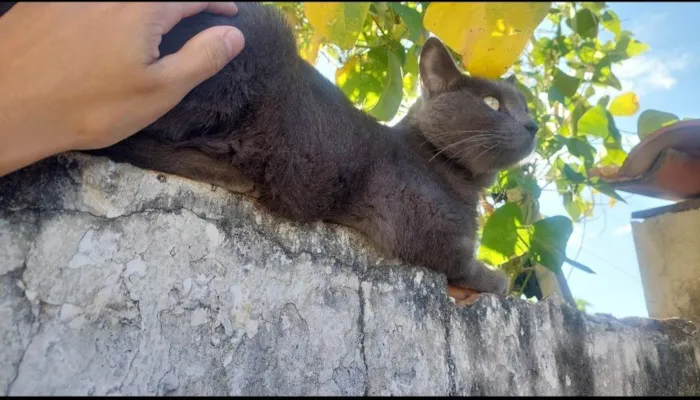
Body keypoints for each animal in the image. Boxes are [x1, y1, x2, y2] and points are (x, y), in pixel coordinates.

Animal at [1, 2, 540, 296]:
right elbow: (463, 263)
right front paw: (498, 279)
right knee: (128, 139)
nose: (534, 124)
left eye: (526, 104)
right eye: (492, 103)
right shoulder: (416, 221)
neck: (459, 182)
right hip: (251, 39)